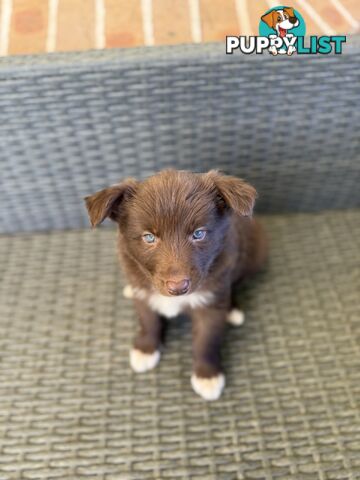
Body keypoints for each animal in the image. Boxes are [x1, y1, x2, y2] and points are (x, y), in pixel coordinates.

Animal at [85, 171, 268, 400]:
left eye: (199, 234)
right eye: (149, 237)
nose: (178, 287)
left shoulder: (210, 303)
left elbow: (206, 339)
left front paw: (207, 375)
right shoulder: (143, 293)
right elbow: (149, 321)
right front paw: (146, 349)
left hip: (253, 255)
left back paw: (232, 309)